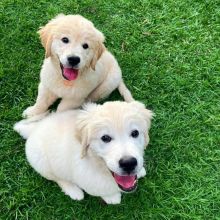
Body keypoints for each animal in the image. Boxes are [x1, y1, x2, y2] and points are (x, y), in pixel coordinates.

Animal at [14, 101, 153, 205]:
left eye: (135, 133)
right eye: (105, 138)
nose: (128, 163)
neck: (97, 165)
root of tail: (33, 129)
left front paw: (140, 171)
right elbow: (102, 190)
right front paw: (112, 197)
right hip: (42, 162)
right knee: (57, 178)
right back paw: (74, 191)